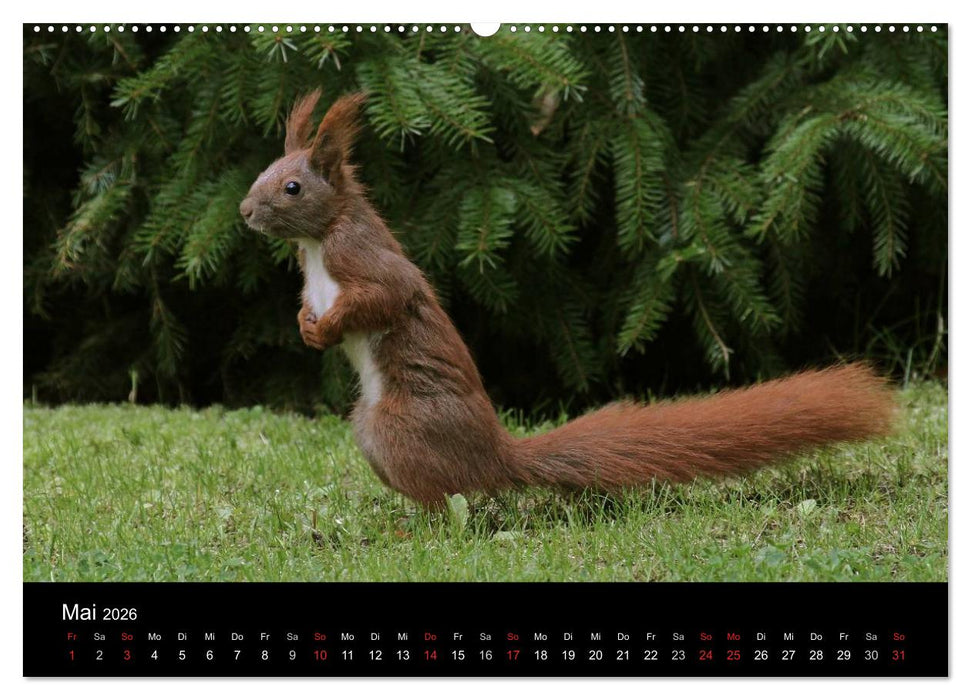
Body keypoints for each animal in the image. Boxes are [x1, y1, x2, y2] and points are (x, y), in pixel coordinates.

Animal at [239, 90, 897, 508]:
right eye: (263, 171)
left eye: (292, 187)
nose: (244, 211)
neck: (318, 245)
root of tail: (497, 457)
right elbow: (308, 307)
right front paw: (307, 326)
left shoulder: (365, 260)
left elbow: (386, 297)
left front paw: (328, 329)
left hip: (394, 429)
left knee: (451, 502)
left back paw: (412, 527)